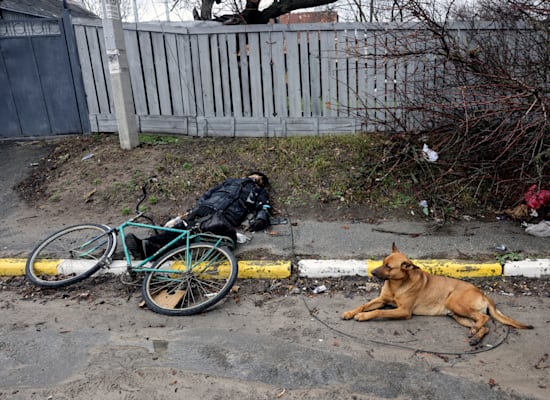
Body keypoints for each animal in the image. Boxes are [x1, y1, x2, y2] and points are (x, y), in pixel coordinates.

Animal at [342, 242, 532, 346]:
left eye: (389, 267)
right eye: (383, 262)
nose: (373, 272)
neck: (397, 284)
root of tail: (483, 293)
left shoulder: (403, 311)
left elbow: (378, 311)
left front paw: (362, 316)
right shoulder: (381, 299)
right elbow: (364, 305)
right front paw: (351, 312)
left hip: (455, 304)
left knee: (484, 318)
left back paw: (476, 332)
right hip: (458, 315)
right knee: (484, 324)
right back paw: (476, 336)